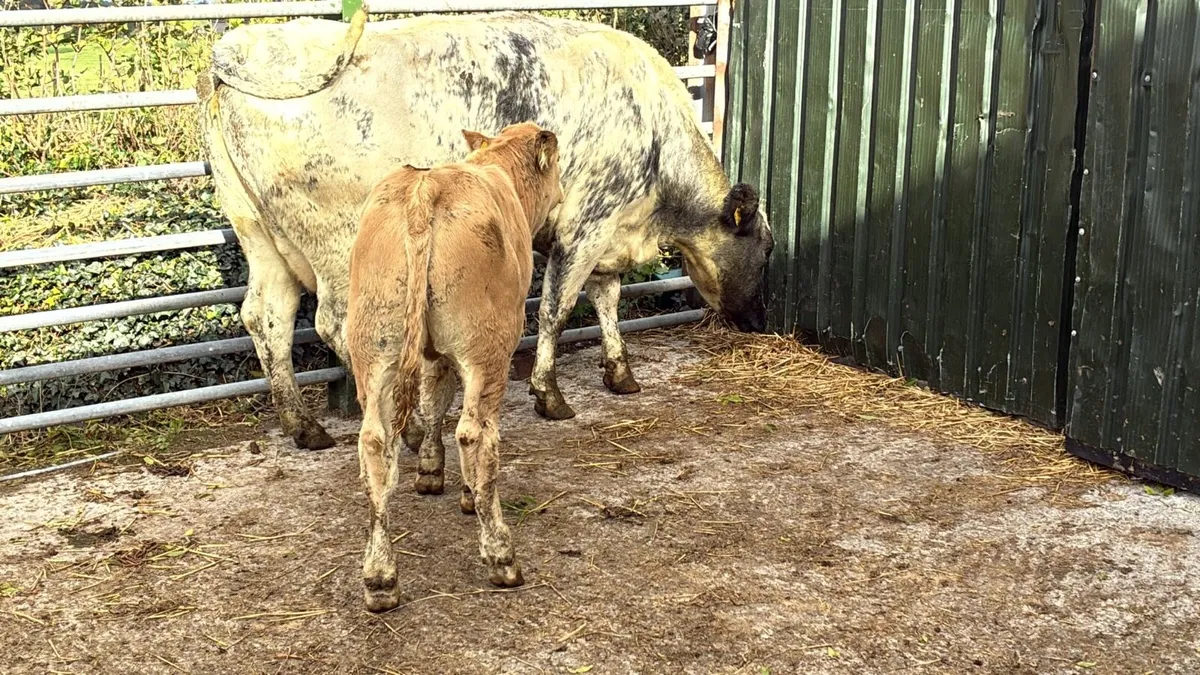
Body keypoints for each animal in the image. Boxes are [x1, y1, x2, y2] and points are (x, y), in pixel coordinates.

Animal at [198, 10, 773, 451]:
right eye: (767, 249)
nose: (758, 322)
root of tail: (243, 49)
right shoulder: (585, 224)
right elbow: (556, 308)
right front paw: (549, 394)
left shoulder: (606, 231)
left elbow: (606, 299)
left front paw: (620, 373)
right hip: (339, 245)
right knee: (336, 326)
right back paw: (405, 427)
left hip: (262, 240)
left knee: (267, 318)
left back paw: (305, 427)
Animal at [347, 122, 563, 611]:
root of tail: (423, 188)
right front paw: (464, 493)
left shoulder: (431, 353)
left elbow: (433, 400)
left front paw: (430, 470)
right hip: (488, 349)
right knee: (476, 435)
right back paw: (502, 556)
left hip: (375, 352)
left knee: (375, 445)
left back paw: (380, 578)